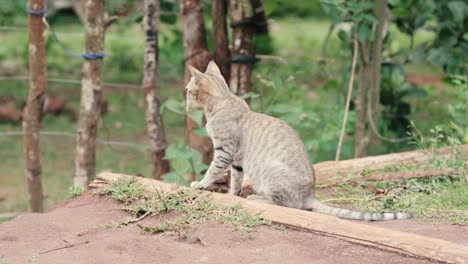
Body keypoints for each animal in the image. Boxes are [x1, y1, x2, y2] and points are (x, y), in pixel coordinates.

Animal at [187, 61, 414, 221]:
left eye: (189, 91)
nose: (185, 102)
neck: (222, 101)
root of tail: (310, 194)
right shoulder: (236, 161)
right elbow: (236, 180)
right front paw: (232, 194)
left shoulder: (224, 151)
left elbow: (212, 172)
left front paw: (200, 185)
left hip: (270, 170)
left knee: (286, 204)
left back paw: (257, 197)